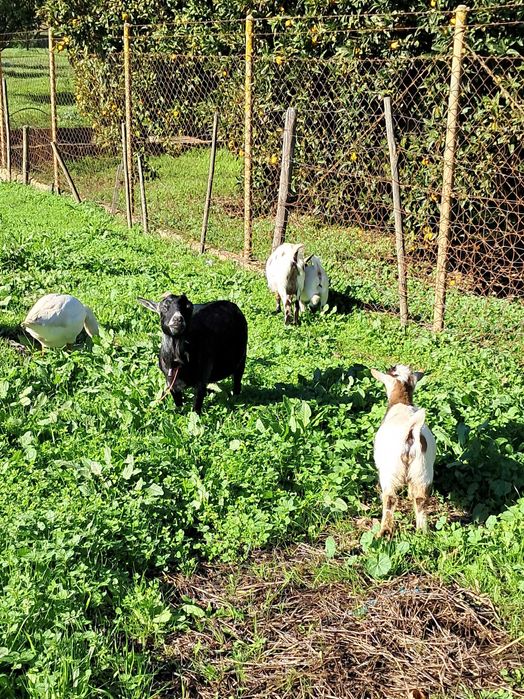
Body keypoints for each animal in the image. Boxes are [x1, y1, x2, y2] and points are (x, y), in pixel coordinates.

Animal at [371, 365, 436, 537]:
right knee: (421, 500)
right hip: (423, 470)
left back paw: (384, 532)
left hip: (390, 471)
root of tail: (411, 432)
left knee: (390, 499)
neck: (402, 402)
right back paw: (422, 532)